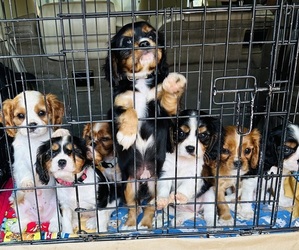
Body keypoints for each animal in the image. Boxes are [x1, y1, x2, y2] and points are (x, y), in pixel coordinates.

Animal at [104, 21, 186, 229]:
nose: (144, 43)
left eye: (152, 35)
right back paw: (130, 224)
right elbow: (129, 111)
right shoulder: (116, 107)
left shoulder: (167, 115)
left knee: (149, 206)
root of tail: (143, 177)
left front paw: (172, 87)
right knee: (133, 206)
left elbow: (168, 100)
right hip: (128, 184)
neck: (140, 82)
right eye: (126, 42)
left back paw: (146, 224)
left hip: (156, 184)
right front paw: (126, 136)